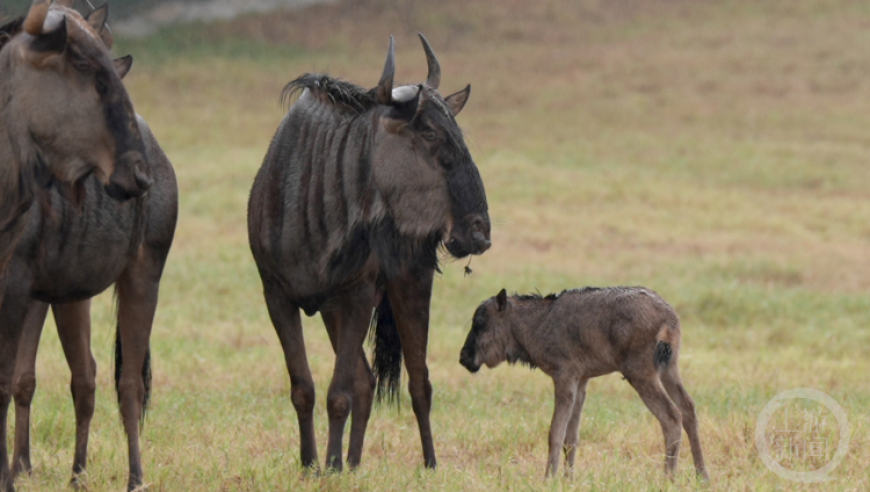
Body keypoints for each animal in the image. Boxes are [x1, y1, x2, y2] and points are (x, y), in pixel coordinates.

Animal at [456, 286, 708, 478]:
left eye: (480, 322)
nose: (463, 357)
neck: (537, 323)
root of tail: (669, 317)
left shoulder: (564, 378)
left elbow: (555, 433)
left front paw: (549, 479)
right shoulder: (581, 381)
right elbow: (571, 437)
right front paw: (569, 479)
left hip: (640, 374)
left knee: (671, 416)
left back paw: (668, 478)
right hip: (668, 369)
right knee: (688, 408)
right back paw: (701, 475)